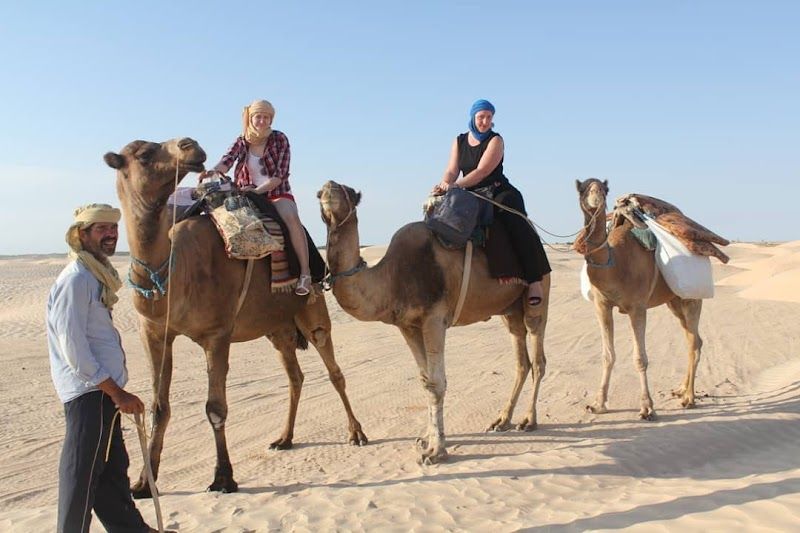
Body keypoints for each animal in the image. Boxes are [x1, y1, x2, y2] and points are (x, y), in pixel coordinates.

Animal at [103, 138, 367, 496]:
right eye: (144, 154)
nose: (191, 146)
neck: (174, 273)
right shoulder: (155, 333)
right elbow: (159, 406)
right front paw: (144, 483)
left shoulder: (217, 334)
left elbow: (215, 408)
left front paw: (224, 478)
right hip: (277, 329)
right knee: (295, 376)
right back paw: (284, 438)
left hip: (311, 309)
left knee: (333, 369)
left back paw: (356, 433)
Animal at [317, 180, 550, 464]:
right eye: (319, 193)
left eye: (349, 191)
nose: (328, 187)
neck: (391, 277)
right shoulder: (407, 325)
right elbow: (425, 380)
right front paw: (426, 439)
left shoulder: (434, 319)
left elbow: (437, 384)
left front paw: (436, 451)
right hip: (509, 309)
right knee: (521, 359)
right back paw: (502, 420)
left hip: (538, 294)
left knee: (538, 358)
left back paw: (529, 420)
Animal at [574, 178, 704, 420]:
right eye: (582, 189)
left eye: (604, 189)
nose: (597, 199)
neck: (615, 264)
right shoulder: (602, 305)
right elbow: (607, 355)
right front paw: (597, 404)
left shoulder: (637, 307)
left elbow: (640, 358)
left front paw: (647, 407)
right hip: (673, 301)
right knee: (693, 339)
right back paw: (681, 389)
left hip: (691, 298)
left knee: (693, 342)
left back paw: (689, 398)